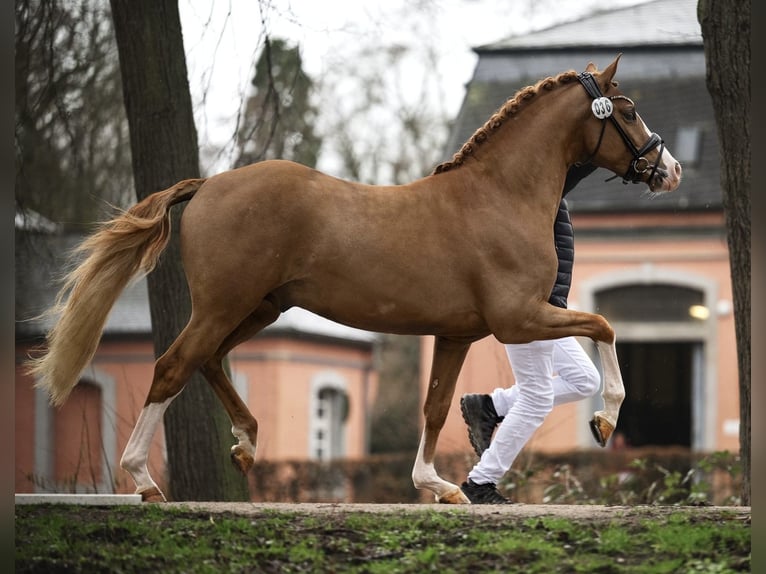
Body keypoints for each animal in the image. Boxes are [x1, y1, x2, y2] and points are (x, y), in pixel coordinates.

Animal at [27, 55, 680, 504]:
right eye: (626, 110)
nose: (669, 169)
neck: (498, 197)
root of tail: (208, 184)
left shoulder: (457, 334)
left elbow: (435, 407)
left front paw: (437, 485)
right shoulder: (517, 319)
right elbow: (605, 324)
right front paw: (604, 418)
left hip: (258, 308)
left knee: (207, 361)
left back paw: (246, 443)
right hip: (223, 305)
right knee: (171, 366)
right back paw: (144, 481)